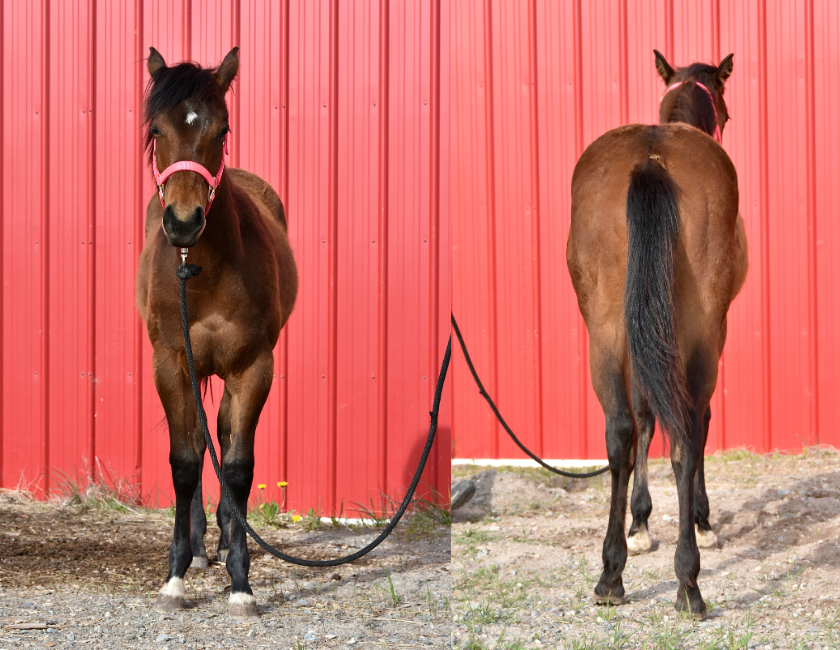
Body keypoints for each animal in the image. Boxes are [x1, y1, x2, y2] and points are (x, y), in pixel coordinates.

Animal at [135, 47, 298, 617]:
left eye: (222, 129)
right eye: (156, 129)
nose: (184, 222)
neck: (200, 270)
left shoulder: (254, 366)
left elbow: (238, 464)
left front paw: (241, 581)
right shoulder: (169, 364)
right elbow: (184, 462)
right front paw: (175, 576)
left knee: (223, 434)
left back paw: (226, 537)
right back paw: (202, 548)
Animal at [566, 50, 747, 618]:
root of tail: (650, 158)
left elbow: (644, 418)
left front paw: (639, 523)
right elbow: (685, 424)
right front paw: (694, 521)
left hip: (604, 328)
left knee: (620, 429)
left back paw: (610, 575)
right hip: (702, 331)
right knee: (688, 427)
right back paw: (688, 580)